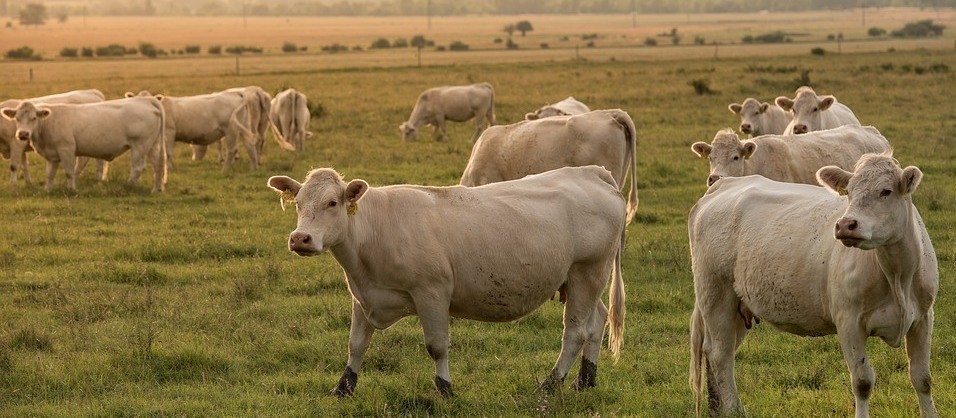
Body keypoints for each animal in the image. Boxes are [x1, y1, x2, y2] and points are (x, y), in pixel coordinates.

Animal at [1, 97, 167, 192]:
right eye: (16, 118)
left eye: (34, 118)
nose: (23, 134)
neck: (49, 122)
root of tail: (145, 100)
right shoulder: (52, 154)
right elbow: (50, 173)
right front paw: (48, 189)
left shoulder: (66, 149)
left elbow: (69, 171)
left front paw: (71, 189)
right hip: (153, 145)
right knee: (158, 165)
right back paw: (156, 189)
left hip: (140, 146)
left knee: (138, 167)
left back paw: (128, 186)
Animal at [125, 89, 272, 170]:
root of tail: (237, 93)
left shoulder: (169, 132)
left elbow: (168, 153)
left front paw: (171, 169)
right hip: (244, 126)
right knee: (250, 146)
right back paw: (254, 168)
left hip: (231, 130)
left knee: (232, 150)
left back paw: (225, 170)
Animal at [267, 165, 626, 397]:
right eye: (298, 204)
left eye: (332, 203)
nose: (300, 238)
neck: (374, 230)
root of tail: (591, 172)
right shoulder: (363, 296)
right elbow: (356, 345)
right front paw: (343, 387)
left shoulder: (432, 293)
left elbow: (437, 347)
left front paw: (445, 389)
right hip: (581, 281)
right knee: (597, 322)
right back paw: (585, 381)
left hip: (587, 272)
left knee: (575, 332)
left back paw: (551, 384)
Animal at [688, 153, 939, 417]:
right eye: (849, 192)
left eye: (886, 191)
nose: (845, 224)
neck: (898, 275)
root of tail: (724, 184)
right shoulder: (848, 322)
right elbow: (862, 382)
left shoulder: (923, 318)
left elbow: (922, 378)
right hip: (715, 294)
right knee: (720, 354)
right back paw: (735, 409)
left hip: (738, 305)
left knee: (718, 352)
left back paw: (717, 408)